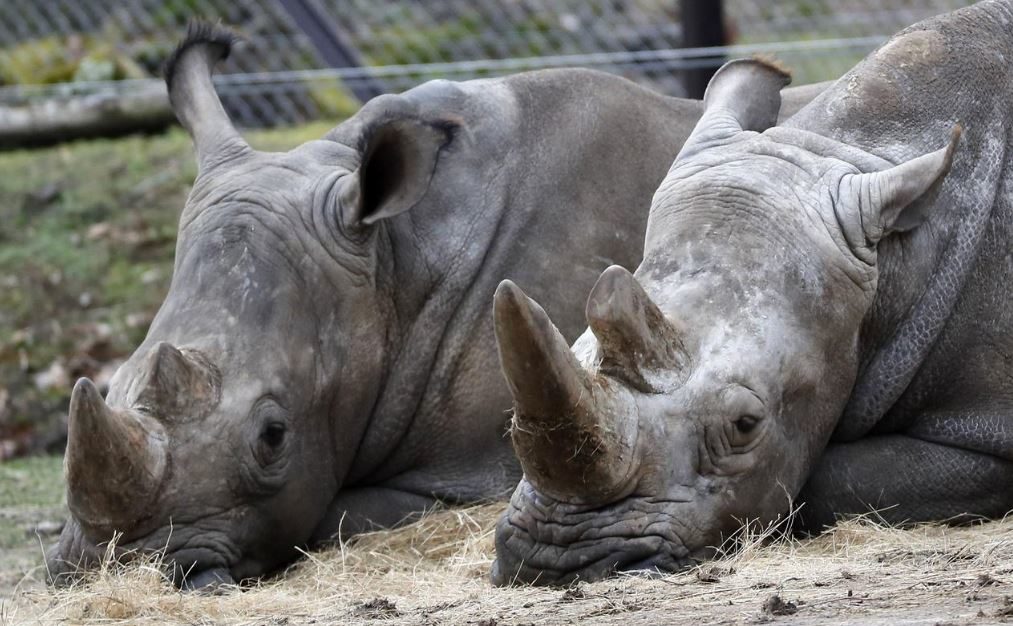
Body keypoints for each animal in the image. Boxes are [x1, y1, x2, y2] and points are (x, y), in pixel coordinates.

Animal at [46, 23, 823, 588]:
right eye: (111, 386)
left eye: (273, 435)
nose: (114, 568)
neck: (391, 262)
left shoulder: (477, 469)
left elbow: (335, 513)